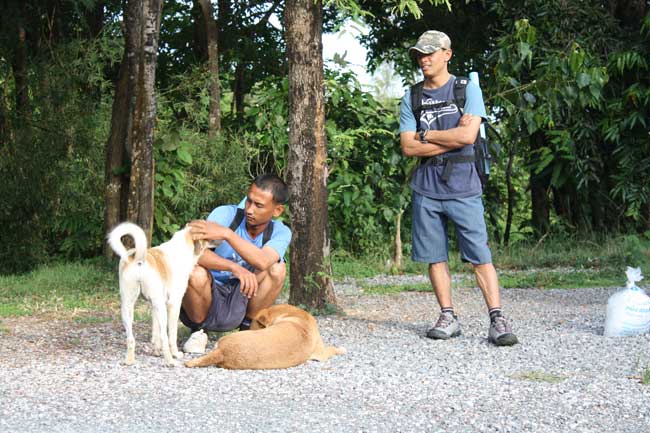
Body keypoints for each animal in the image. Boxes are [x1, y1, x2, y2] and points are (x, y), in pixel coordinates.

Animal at [108, 221, 215, 366]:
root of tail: (139, 256)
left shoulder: (154, 305)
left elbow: (155, 332)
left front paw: (156, 351)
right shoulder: (173, 304)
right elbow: (171, 335)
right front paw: (175, 353)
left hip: (127, 306)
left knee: (130, 338)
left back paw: (129, 360)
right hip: (161, 309)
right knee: (165, 336)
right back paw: (170, 360)